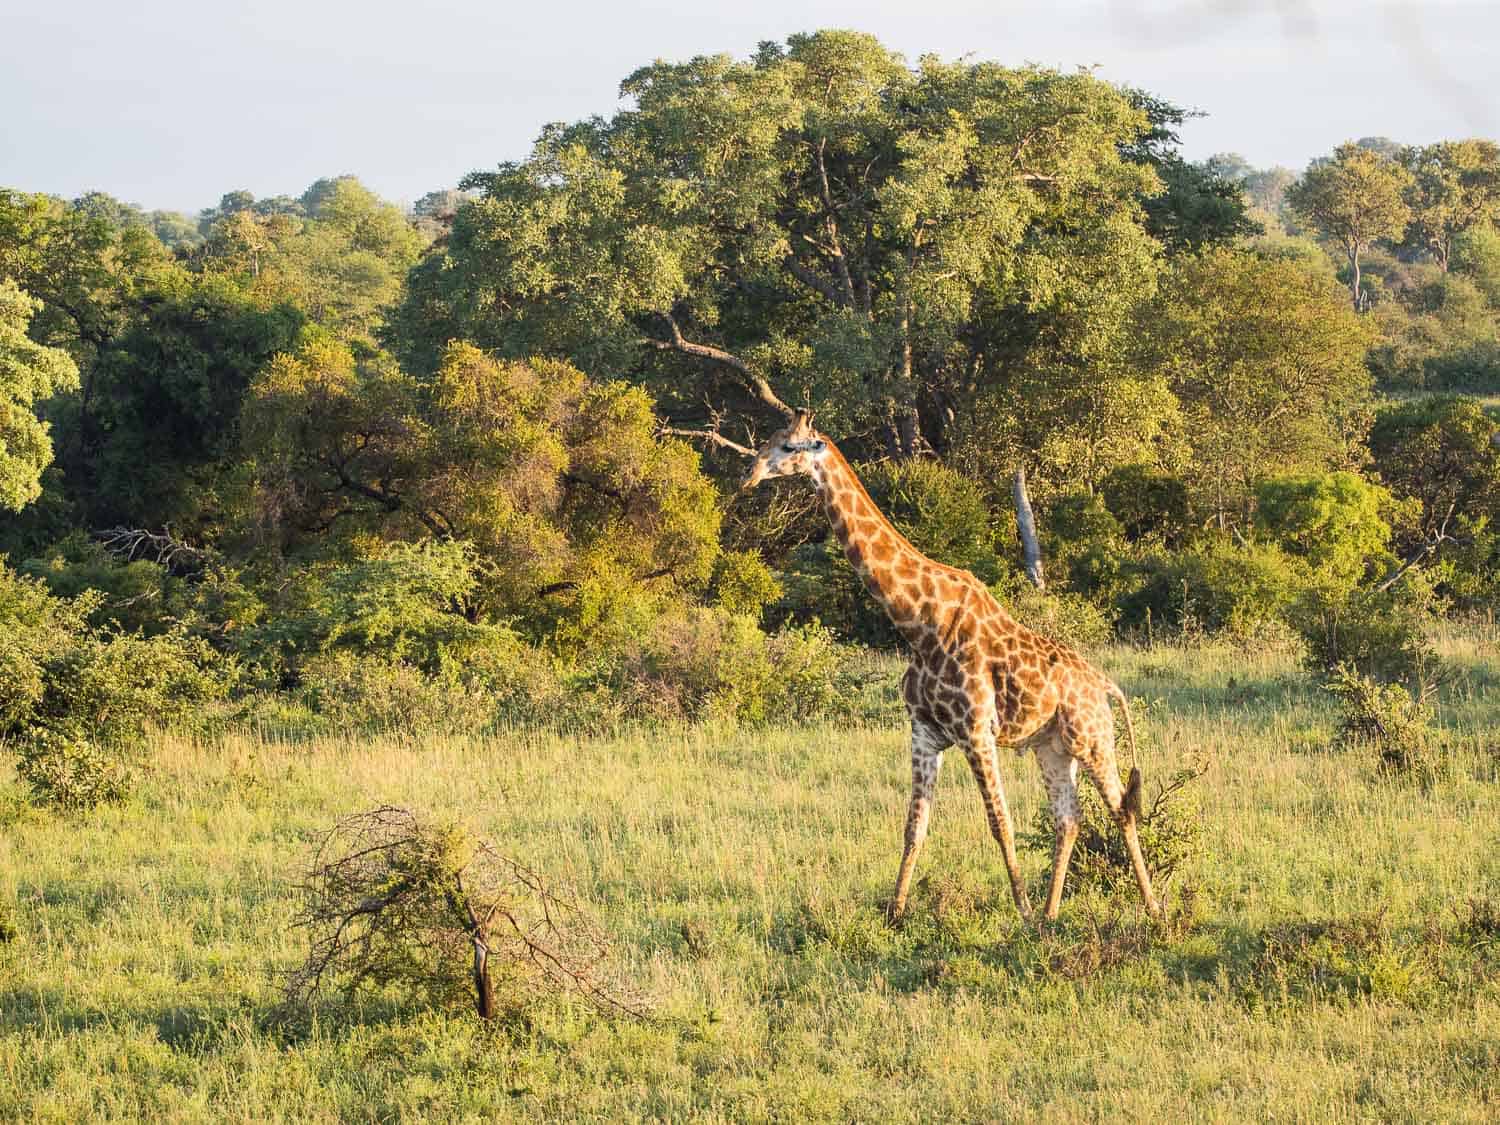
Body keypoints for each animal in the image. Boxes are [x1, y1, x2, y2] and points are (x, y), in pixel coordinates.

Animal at [741, 411, 1158, 924]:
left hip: (1092, 738)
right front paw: (895, 912)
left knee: (1120, 808)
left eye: (789, 446)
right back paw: (1051, 914)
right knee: (1069, 818)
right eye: (771, 440)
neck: (918, 622)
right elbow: (914, 825)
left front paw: (1020, 913)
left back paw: (1150, 908)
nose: (750, 473)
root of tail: (1105, 685)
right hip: (1052, 746)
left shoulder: (976, 731)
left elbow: (1000, 822)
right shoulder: (924, 731)